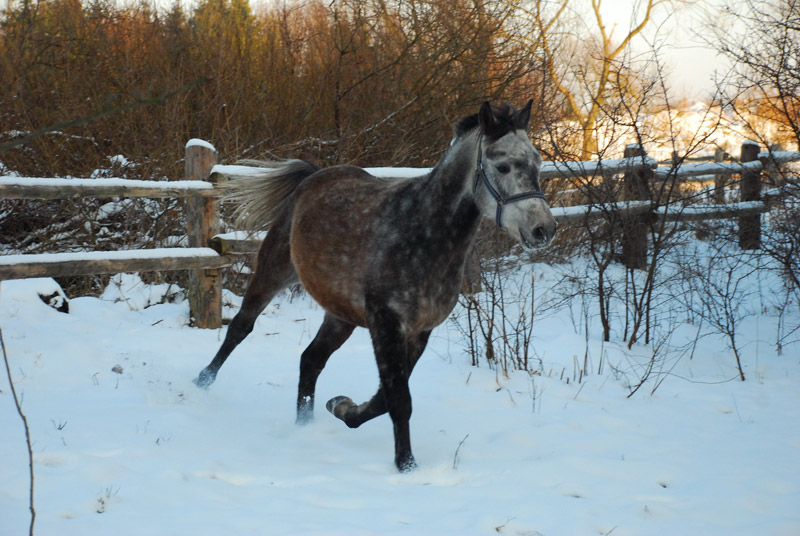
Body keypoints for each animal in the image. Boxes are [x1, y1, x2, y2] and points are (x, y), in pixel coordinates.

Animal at [194, 101, 556, 474]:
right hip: (273, 272)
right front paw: (406, 464)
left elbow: (385, 396)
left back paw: (304, 424)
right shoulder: (386, 324)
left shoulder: (419, 331)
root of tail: (313, 177)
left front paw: (342, 406)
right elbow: (398, 398)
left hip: (341, 315)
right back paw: (202, 382)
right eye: (503, 165)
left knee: (310, 360)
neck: (422, 235)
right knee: (241, 327)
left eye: (537, 163)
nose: (544, 229)